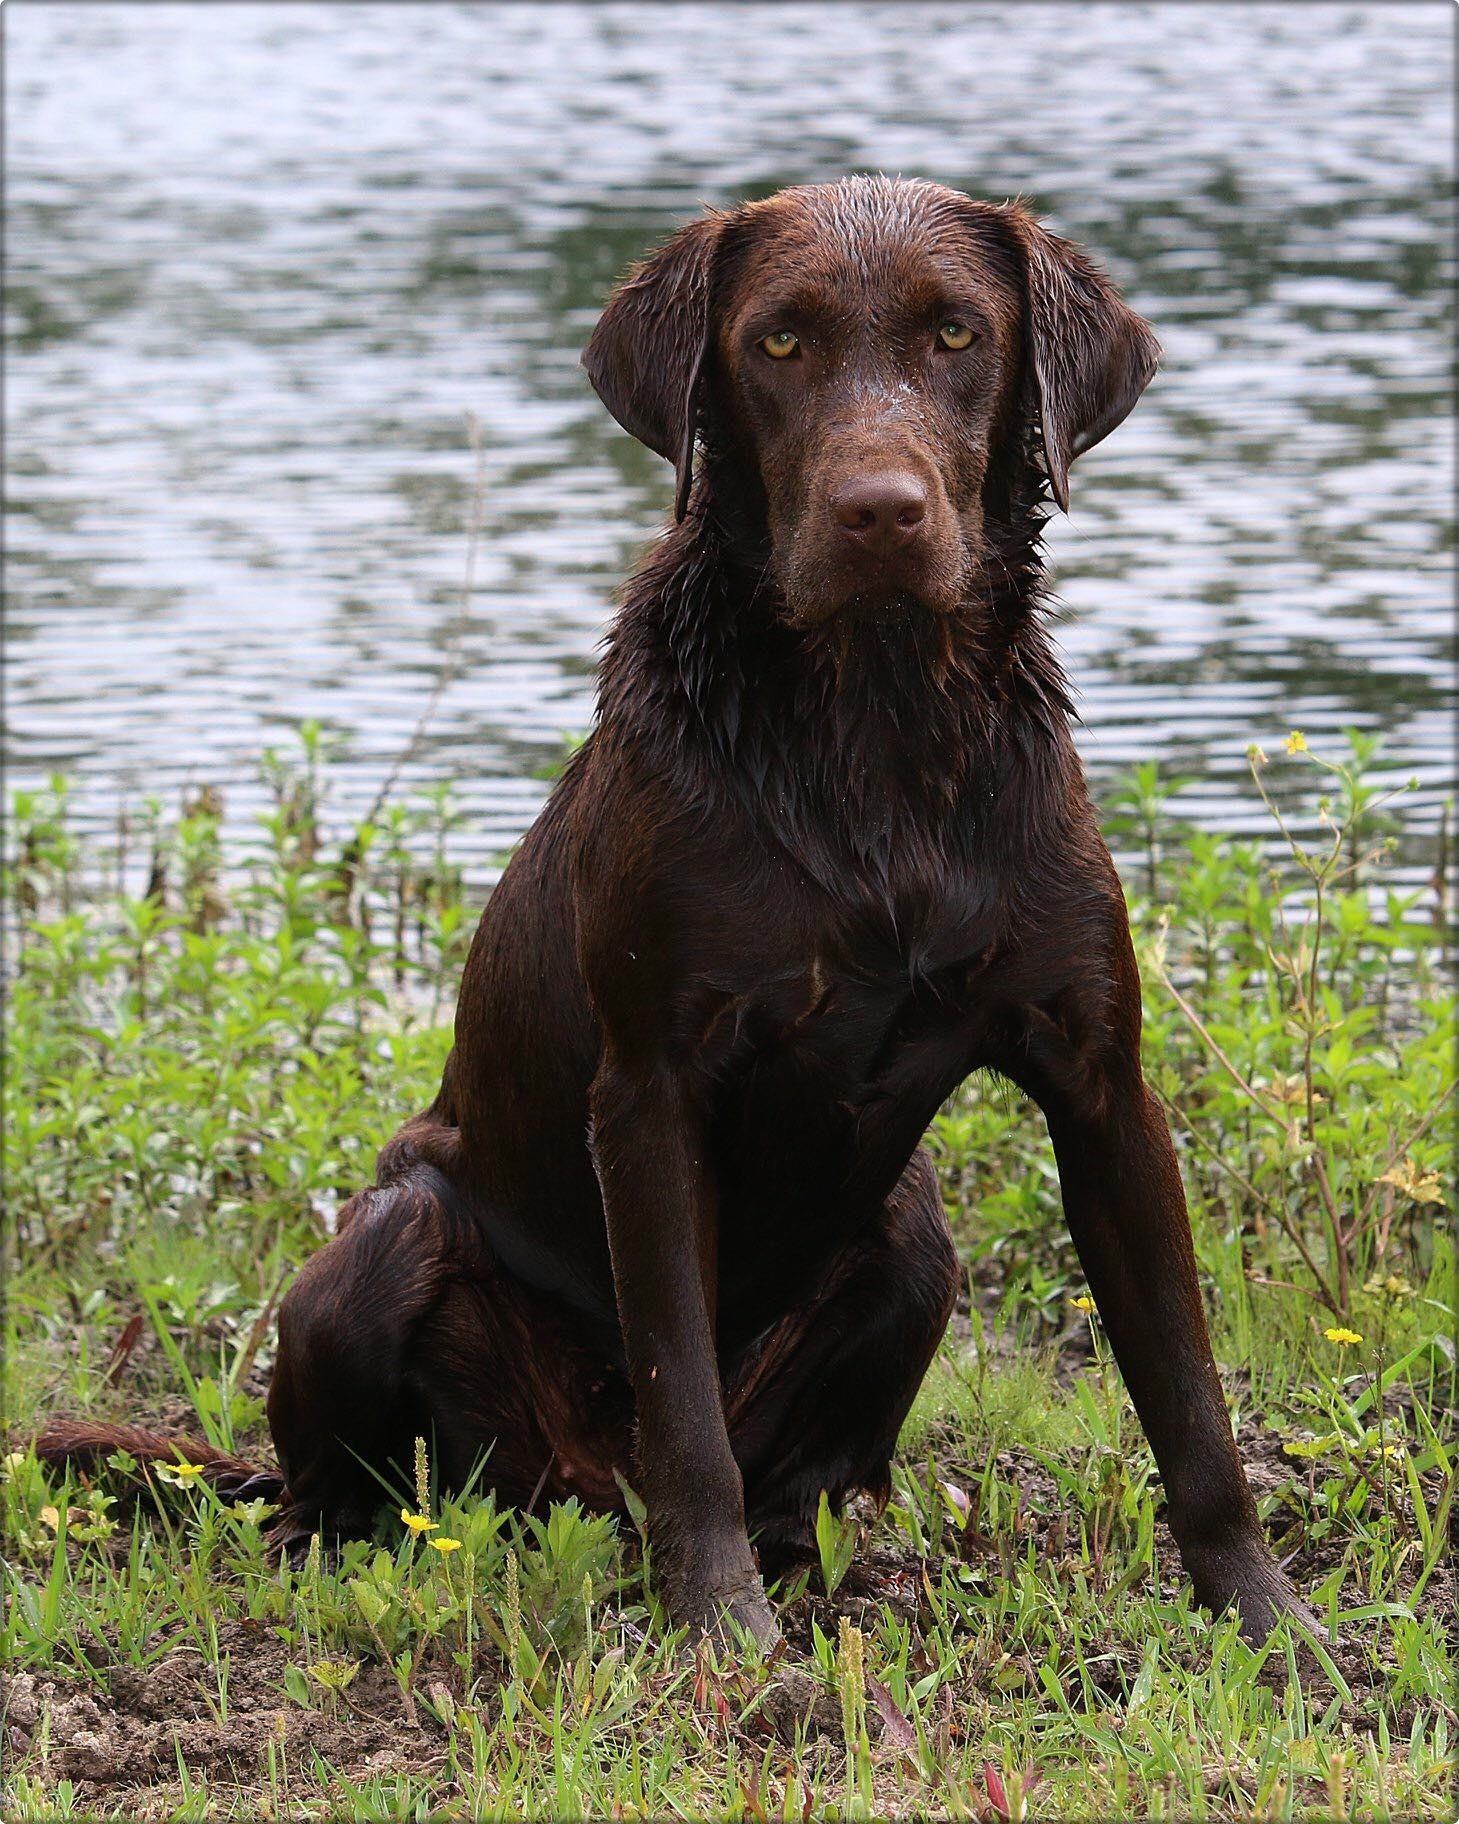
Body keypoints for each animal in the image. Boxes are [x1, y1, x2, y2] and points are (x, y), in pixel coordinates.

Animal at [39, 177, 1305, 1648]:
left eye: (955, 335)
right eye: (776, 343)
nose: (879, 512)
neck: (876, 738)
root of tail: (572, 1494)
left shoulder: (1099, 1081)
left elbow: (1190, 1403)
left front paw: (1268, 1620)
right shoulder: (650, 1084)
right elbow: (681, 1399)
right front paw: (717, 1627)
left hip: (912, 1238)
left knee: (807, 1474)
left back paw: (842, 1577)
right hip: (388, 1245)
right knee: (356, 1484)